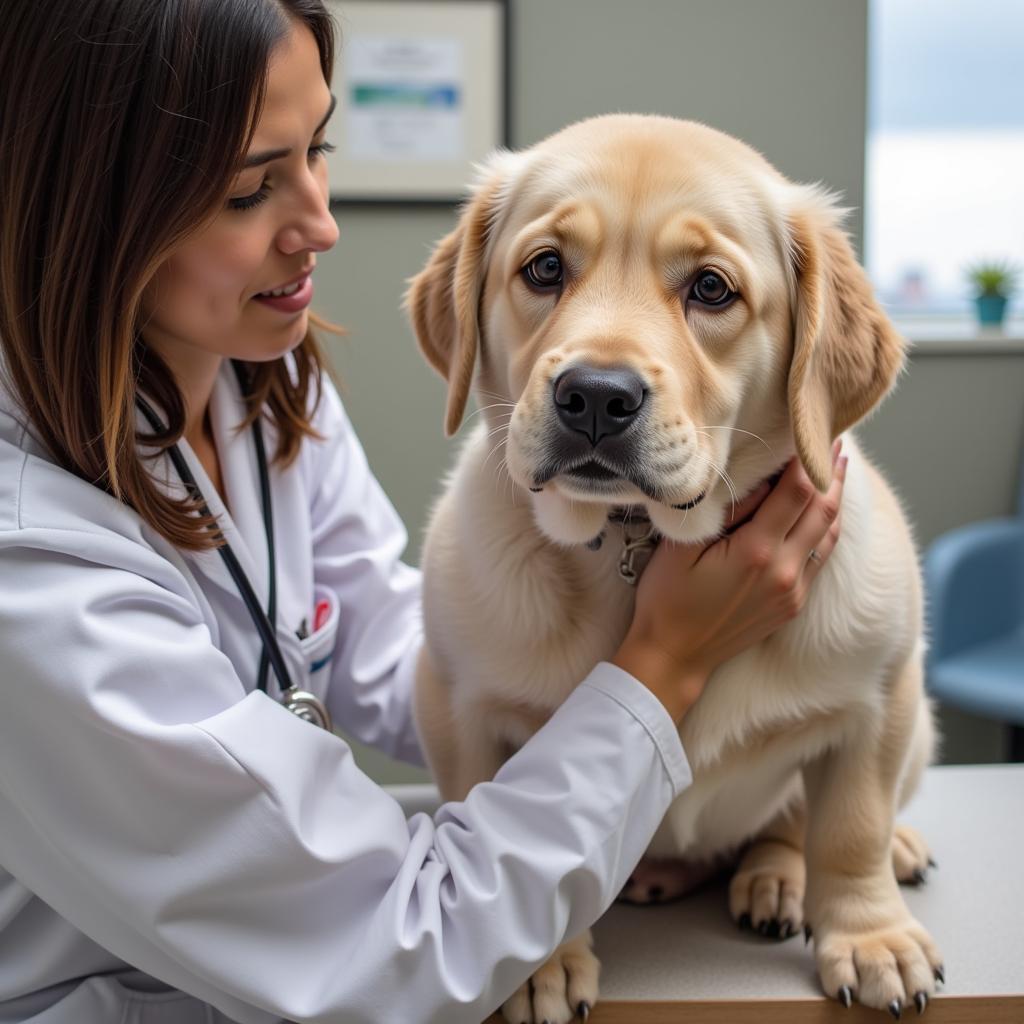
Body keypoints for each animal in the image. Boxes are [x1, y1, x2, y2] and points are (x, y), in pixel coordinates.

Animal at [403, 116, 937, 1019]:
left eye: (712, 289)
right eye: (545, 268)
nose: (594, 395)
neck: (638, 539)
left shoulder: (879, 697)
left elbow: (850, 827)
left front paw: (870, 935)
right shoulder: (458, 701)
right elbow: (495, 835)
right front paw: (537, 967)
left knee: (799, 824)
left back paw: (791, 877)